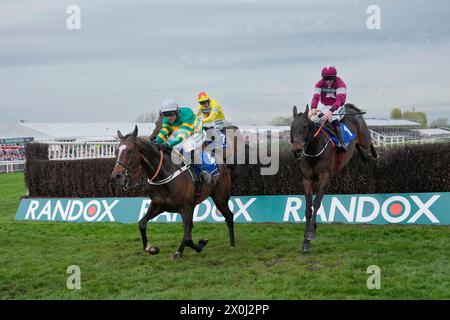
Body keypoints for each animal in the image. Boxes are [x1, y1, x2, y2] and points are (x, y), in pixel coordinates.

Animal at [110, 125, 236, 260]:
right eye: (116, 151)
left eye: (130, 151)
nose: (116, 177)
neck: (164, 174)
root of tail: (222, 163)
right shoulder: (158, 205)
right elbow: (142, 224)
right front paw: (151, 249)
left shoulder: (185, 208)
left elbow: (188, 238)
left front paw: (199, 244)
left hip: (220, 198)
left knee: (229, 216)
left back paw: (232, 245)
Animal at [290, 104, 378, 251]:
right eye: (291, 127)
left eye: (305, 126)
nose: (297, 150)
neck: (314, 151)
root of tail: (350, 108)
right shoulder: (307, 180)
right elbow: (308, 208)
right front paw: (306, 242)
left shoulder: (325, 177)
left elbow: (316, 203)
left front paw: (311, 233)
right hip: (356, 143)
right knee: (358, 146)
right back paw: (365, 156)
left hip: (364, 136)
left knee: (369, 143)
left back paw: (374, 155)